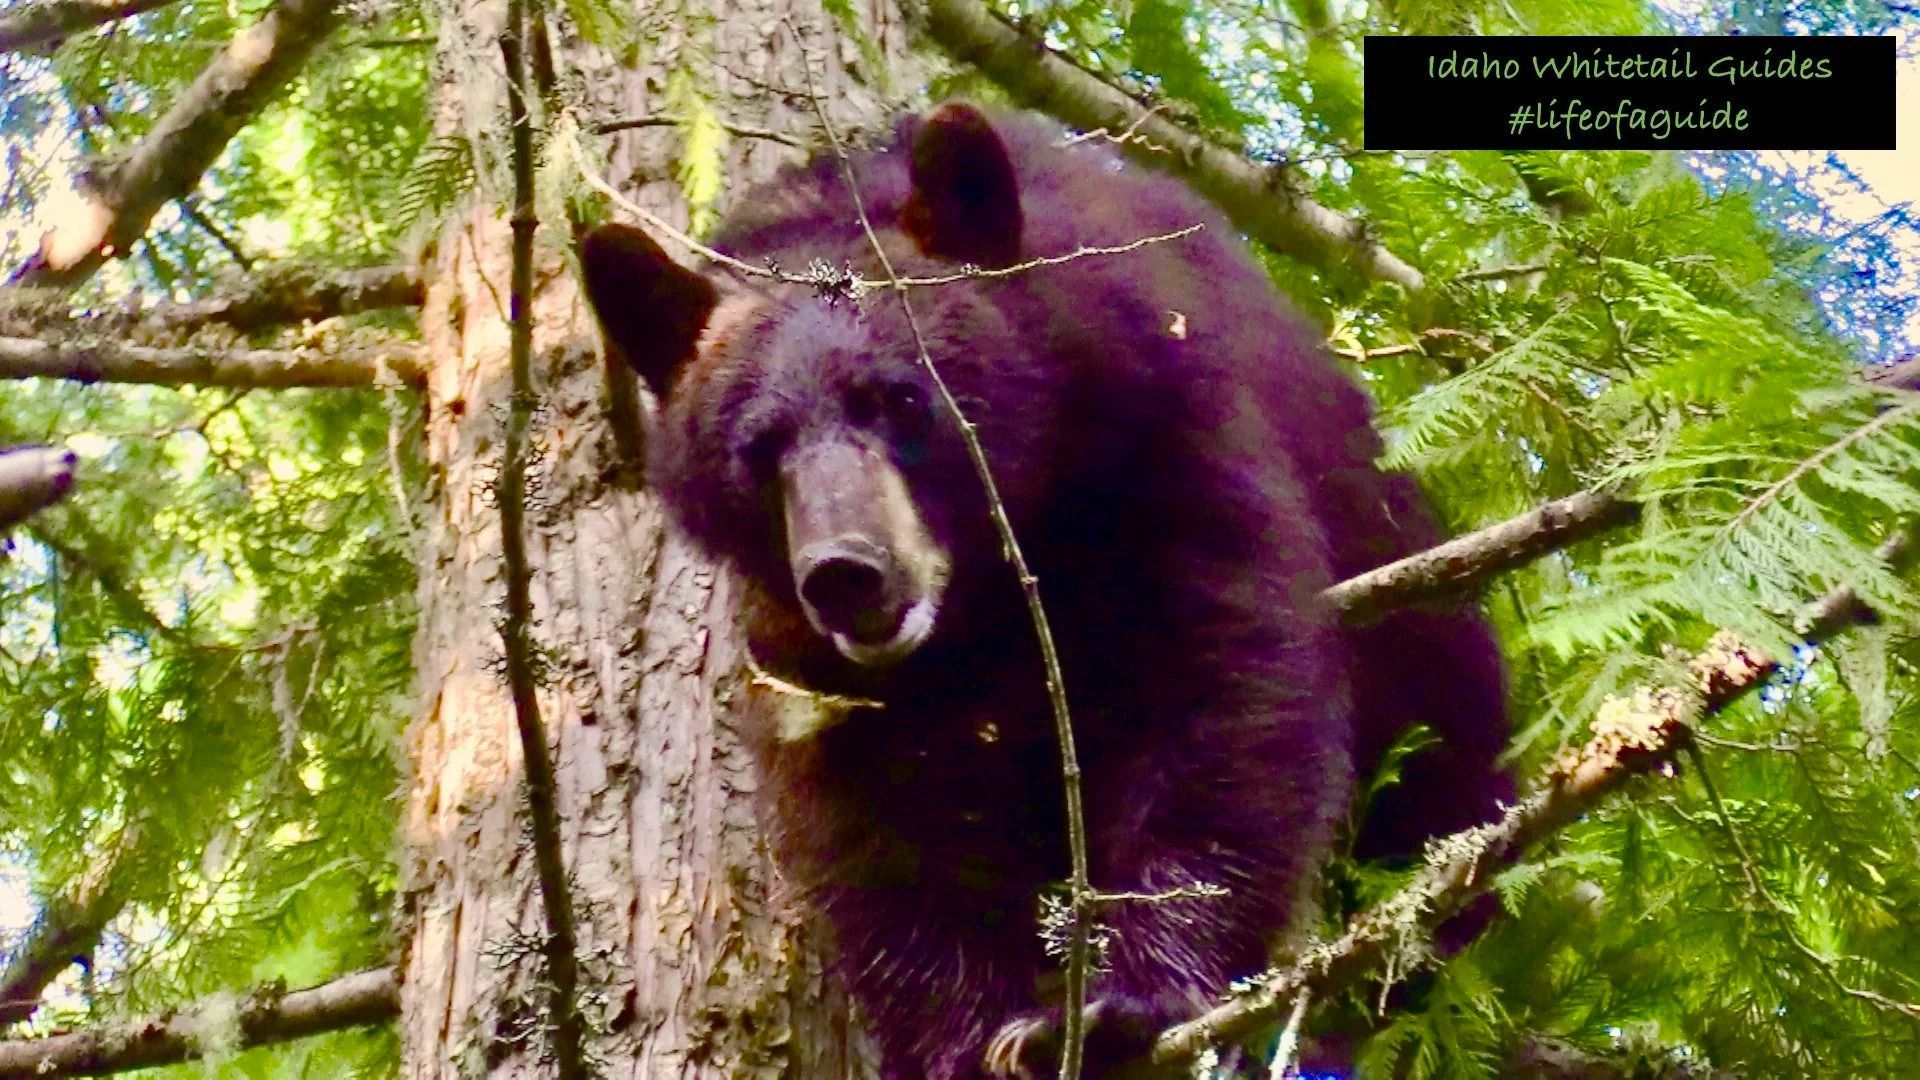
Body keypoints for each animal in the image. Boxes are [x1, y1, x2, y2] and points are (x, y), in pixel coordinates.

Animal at [580, 102, 1510, 1078]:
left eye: (902, 399)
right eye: (760, 448)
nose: (845, 572)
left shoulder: (1163, 429)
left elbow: (1223, 688)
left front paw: (1130, 996)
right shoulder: (802, 655)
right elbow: (877, 825)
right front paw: (969, 1035)